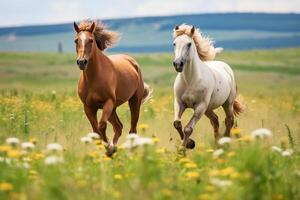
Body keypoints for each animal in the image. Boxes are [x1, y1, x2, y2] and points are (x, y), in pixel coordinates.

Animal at [74, 19, 151, 155]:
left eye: (91, 40)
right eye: (76, 40)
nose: (82, 62)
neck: (94, 78)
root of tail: (132, 61)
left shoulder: (108, 102)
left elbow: (101, 126)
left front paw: (109, 148)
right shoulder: (88, 107)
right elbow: (96, 132)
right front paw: (109, 148)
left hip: (133, 102)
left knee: (132, 129)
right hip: (113, 109)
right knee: (118, 127)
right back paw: (114, 148)